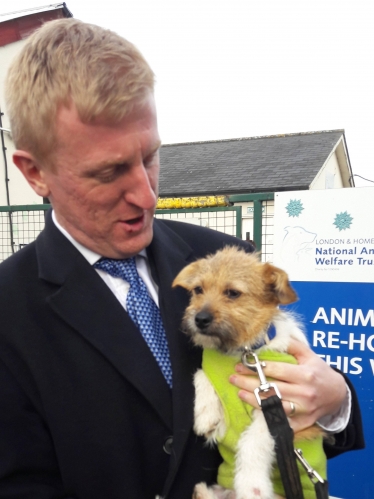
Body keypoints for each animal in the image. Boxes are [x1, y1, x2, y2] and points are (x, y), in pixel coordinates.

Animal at [172, 246, 324, 499]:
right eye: (198, 290)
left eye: (233, 293)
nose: (199, 319)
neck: (243, 351)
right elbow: (201, 373)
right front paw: (205, 414)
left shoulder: (277, 407)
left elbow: (253, 441)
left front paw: (252, 486)